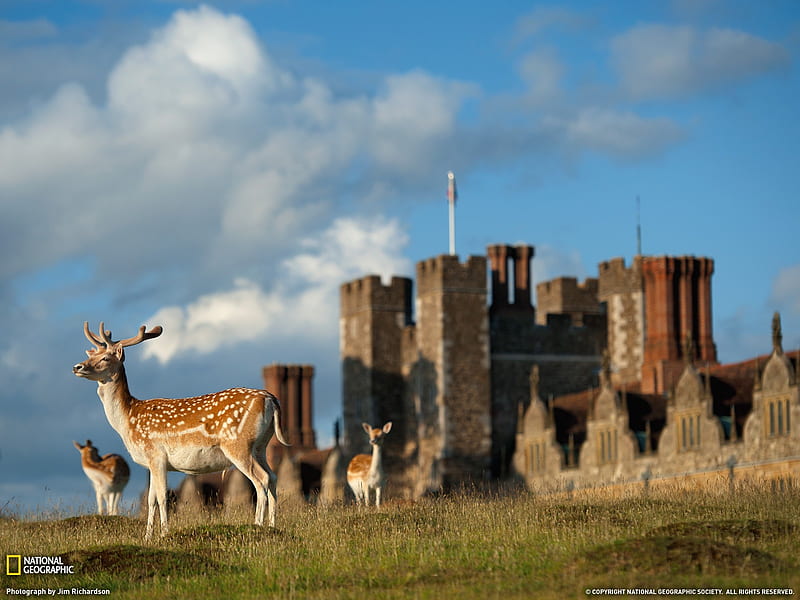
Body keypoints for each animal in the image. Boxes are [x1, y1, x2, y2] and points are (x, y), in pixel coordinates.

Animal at [72, 324, 290, 540]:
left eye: (106, 358)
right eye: (92, 354)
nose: (77, 367)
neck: (128, 419)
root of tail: (271, 399)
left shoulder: (156, 454)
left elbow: (162, 497)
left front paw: (164, 533)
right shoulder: (151, 463)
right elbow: (151, 499)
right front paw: (148, 537)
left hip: (238, 445)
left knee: (261, 479)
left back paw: (257, 526)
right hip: (260, 446)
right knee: (273, 477)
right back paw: (272, 526)